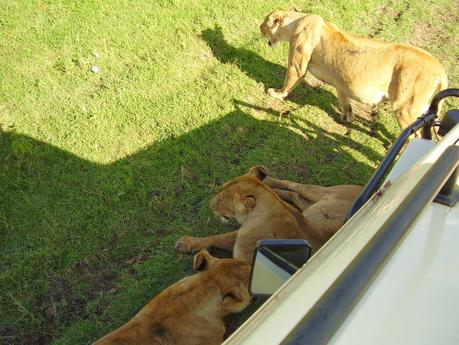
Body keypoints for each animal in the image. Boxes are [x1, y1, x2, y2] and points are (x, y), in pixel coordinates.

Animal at [176, 167, 362, 260]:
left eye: (221, 199)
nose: (209, 205)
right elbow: (216, 237)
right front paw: (187, 243)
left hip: (316, 195)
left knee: (294, 189)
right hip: (310, 203)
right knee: (292, 189)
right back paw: (269, 181)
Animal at [260, 8, 448, 132]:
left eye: (264, 21)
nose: (259, 27)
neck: (296, 22)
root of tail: (440, 68)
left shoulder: (297, 65)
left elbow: (289, 81)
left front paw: (276, 93)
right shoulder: (341, 84)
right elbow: (345, 102)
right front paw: (347, 119)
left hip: (406, 109)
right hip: (422, 108)